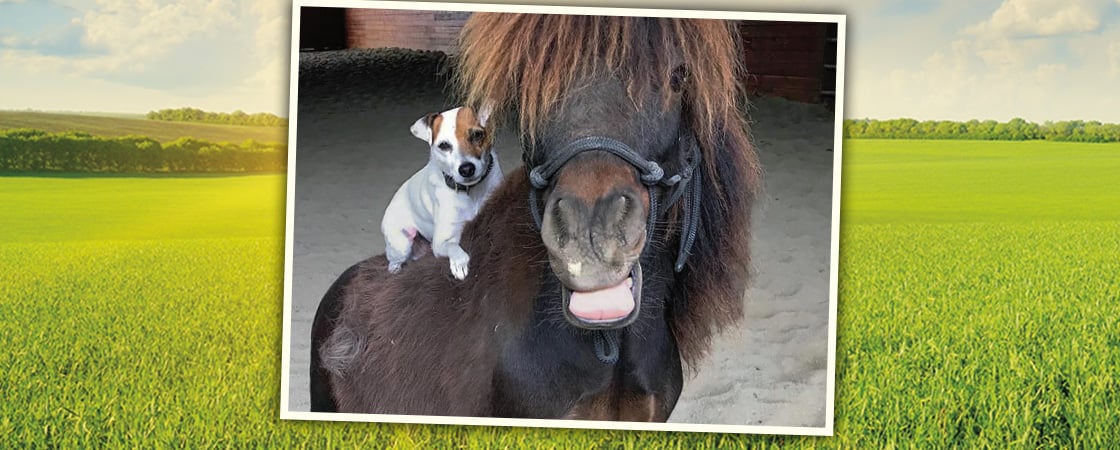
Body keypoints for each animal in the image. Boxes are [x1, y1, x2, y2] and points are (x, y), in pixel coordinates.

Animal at [383, 106, 501, 279]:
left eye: (477, 135)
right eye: (444, 145)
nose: (466, 169)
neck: (471, 192)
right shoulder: (441, 242)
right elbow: (454, 247)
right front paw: (459, 264)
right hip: (401, 244)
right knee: (393, 262)